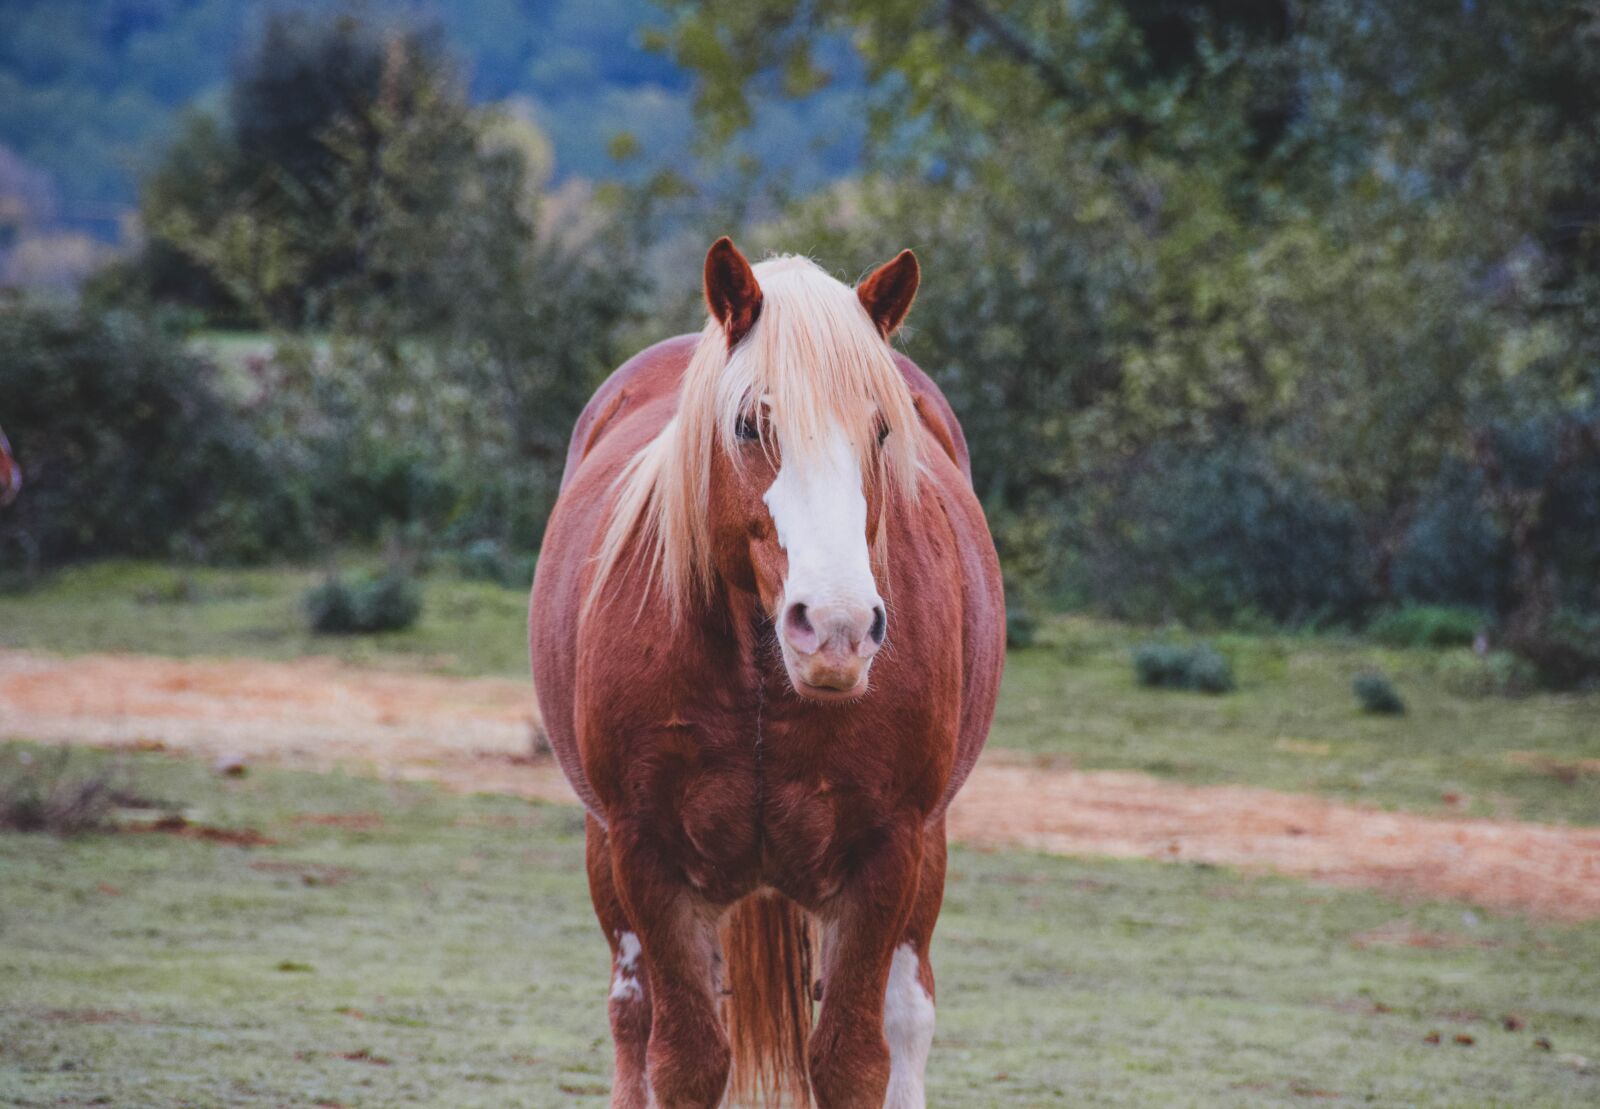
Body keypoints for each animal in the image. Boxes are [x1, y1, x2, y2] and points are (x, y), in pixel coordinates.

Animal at [529, 238, 1004, 1108]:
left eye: (882, 429)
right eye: (751, 423)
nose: (839, 628)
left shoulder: (888, 855)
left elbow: (853, 1060)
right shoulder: (645, 854)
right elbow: (683, 1059)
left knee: (908, 1016)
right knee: (630, 1014)